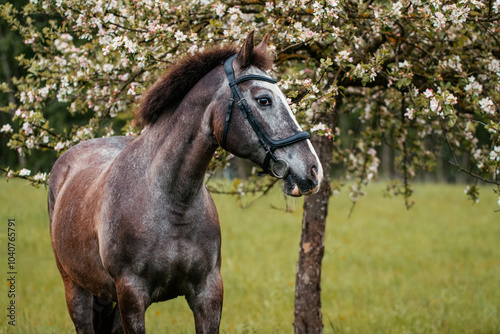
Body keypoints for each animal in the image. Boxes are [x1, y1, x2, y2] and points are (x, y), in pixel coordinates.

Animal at [47, 32, 324, 334]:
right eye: (264, 100)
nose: (313, 170)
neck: (171, 203)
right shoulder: (131, 296)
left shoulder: (208, 294)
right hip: (75, 289)